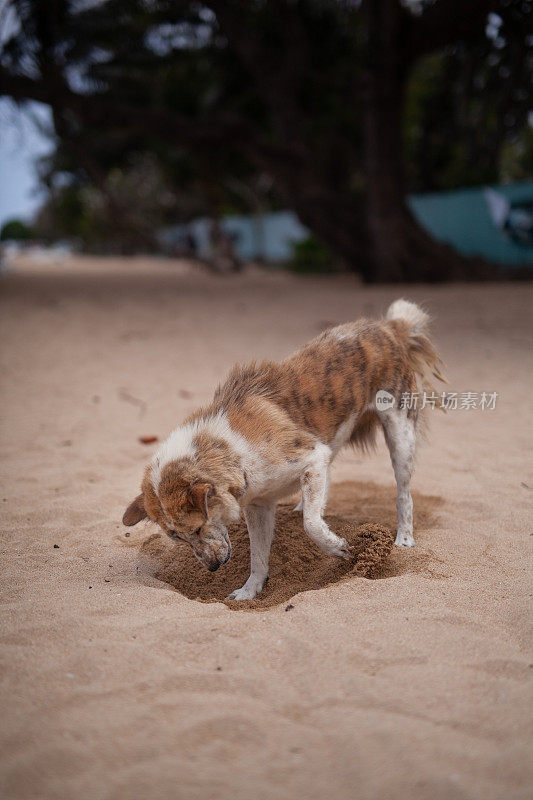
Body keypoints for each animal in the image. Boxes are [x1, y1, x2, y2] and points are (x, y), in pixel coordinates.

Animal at [123, 300, 444, 600]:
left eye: (198, 529)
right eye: (178, 539)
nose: (212, 568)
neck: (231, 450)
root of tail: (389, 326)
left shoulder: (313, 456)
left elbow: (312, 525)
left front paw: (339, 548)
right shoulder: (259, 504)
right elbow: (258, 556)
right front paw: (250, 591)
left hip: (400, 435)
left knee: (404, 495)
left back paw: (404, 538)